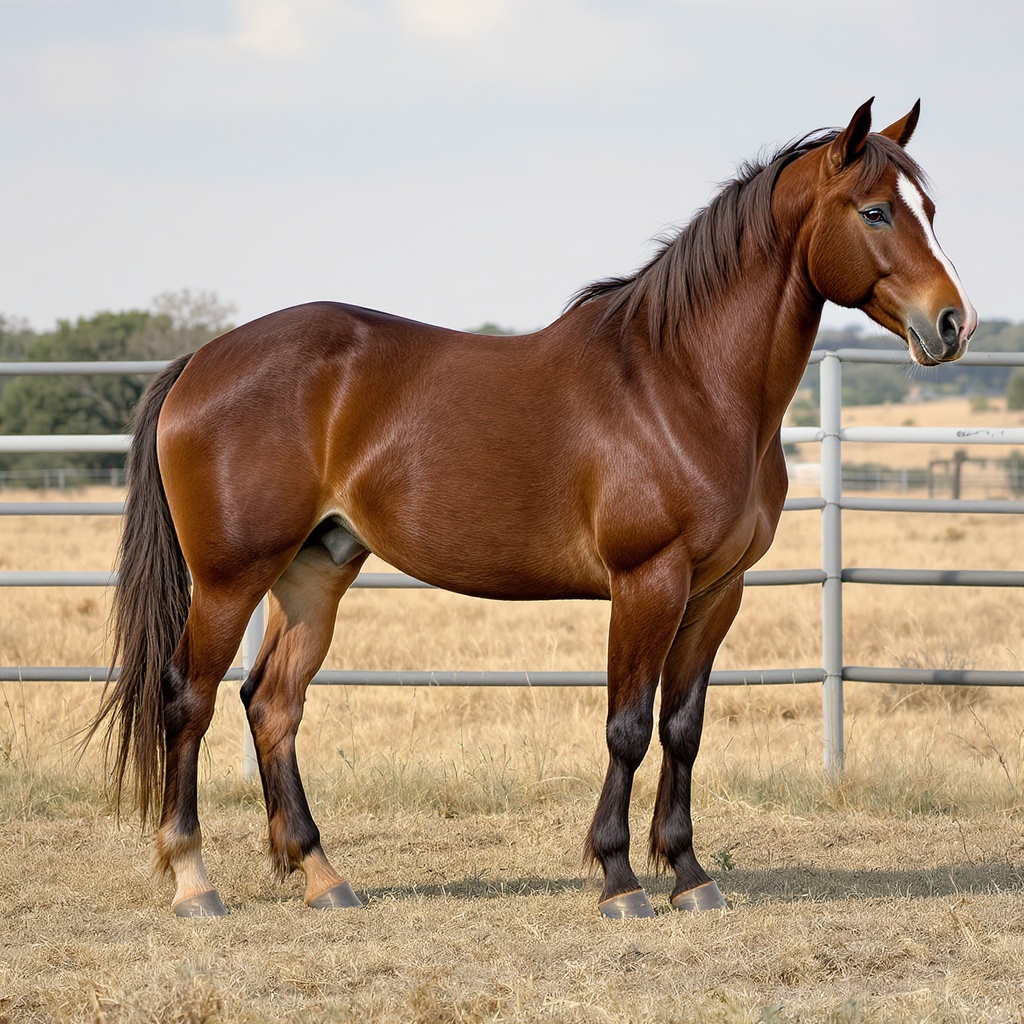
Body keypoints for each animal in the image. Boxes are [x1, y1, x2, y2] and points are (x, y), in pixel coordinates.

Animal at [87, 99, 976, 918]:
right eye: (875, 210)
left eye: (930, 208)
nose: (952, 322)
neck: (684, 383)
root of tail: (202, 359)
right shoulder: (647, 582)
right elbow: (628, 726)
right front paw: (619, 880)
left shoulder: (717, 592)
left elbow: (682, 729)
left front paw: (690, 875)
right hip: (230, 579)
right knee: (189, 698)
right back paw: (193, 882)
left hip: (315, 572)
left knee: (273, 704)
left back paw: (322, 876)